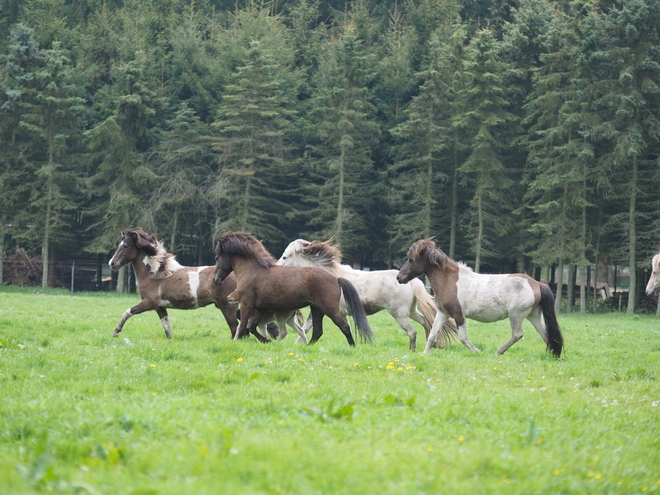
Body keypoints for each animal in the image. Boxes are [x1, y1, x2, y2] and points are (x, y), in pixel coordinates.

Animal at [108, 230, 240, 340]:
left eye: (125, 246)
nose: (112, 263)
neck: (154, 274)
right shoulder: (160, 307)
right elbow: (167, 328)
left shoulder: (149, 303)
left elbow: (128, 312)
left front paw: (116, 332)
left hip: (227, 306)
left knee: (235, 326)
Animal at [214, 233, 374, 346]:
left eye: (217, 257)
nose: (215, 280)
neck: (252, 270)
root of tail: (336, 278)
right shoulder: (261, 308)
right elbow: (252, 327)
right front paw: (267, 341)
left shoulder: (246, 304)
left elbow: (243, 327)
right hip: (317, 309)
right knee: (317, 332)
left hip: (329, 309)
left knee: (344, 326)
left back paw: (352, 346)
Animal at [278, 238, 454, 350]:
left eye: (285, 256)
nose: (276, 266)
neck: (330, 274)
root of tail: (411, 281)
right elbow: (309, 327)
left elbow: (307, 328)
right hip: (411, 312)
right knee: (425, 323)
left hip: (399, 315)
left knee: (412, 332)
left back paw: (412, 350)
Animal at [394, 238, 564, 358]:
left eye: (411, 260)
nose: (399, 278)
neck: (449, 281)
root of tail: (536, 283)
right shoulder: (443, 313)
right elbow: (433, 334)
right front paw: (424, 353)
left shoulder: (458, 314)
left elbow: (462, 337)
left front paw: (476, 351)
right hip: (533, 315)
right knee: (546, 335)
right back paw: (553, 356)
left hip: (516, 315)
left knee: (517, 335)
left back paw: (497, 353)